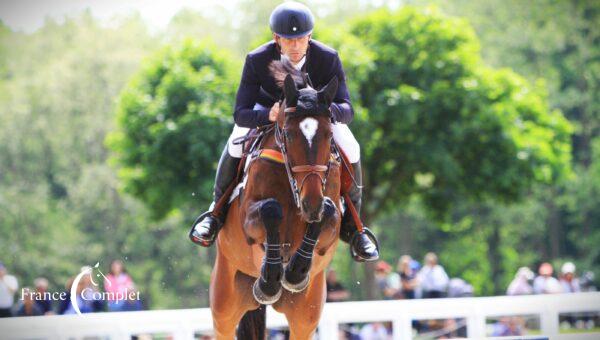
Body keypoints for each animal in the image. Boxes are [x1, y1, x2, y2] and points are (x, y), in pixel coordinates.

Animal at [210, 61, 342, 340]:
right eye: (289, 135)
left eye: (328, 135)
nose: (309, 202)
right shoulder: (248, 220)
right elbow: (271, 209)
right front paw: (271, 280)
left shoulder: (330, 230)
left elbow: (326, 213)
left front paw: (294, 272)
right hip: (224, 301)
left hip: (306, 314)